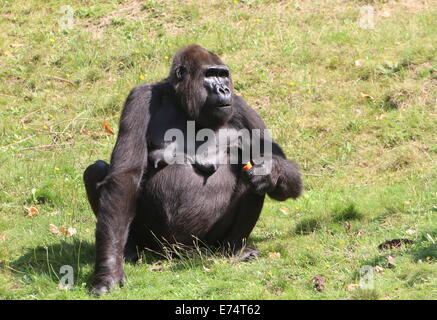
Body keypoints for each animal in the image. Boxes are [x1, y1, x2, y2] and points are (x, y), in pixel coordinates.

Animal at [83, 45, 302, 296]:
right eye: (210, 75)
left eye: (223, 74)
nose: (224, 88)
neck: (183, 104)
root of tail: (180, 253)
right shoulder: (140, 97)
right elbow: (125, 175)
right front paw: (108, 270)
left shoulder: (241, 107)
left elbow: (289, 175)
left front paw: (268, 171)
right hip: (155, 244)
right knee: (97, 170)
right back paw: (128, 250)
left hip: (206, 244)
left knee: (249, 180)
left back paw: (235, 249)